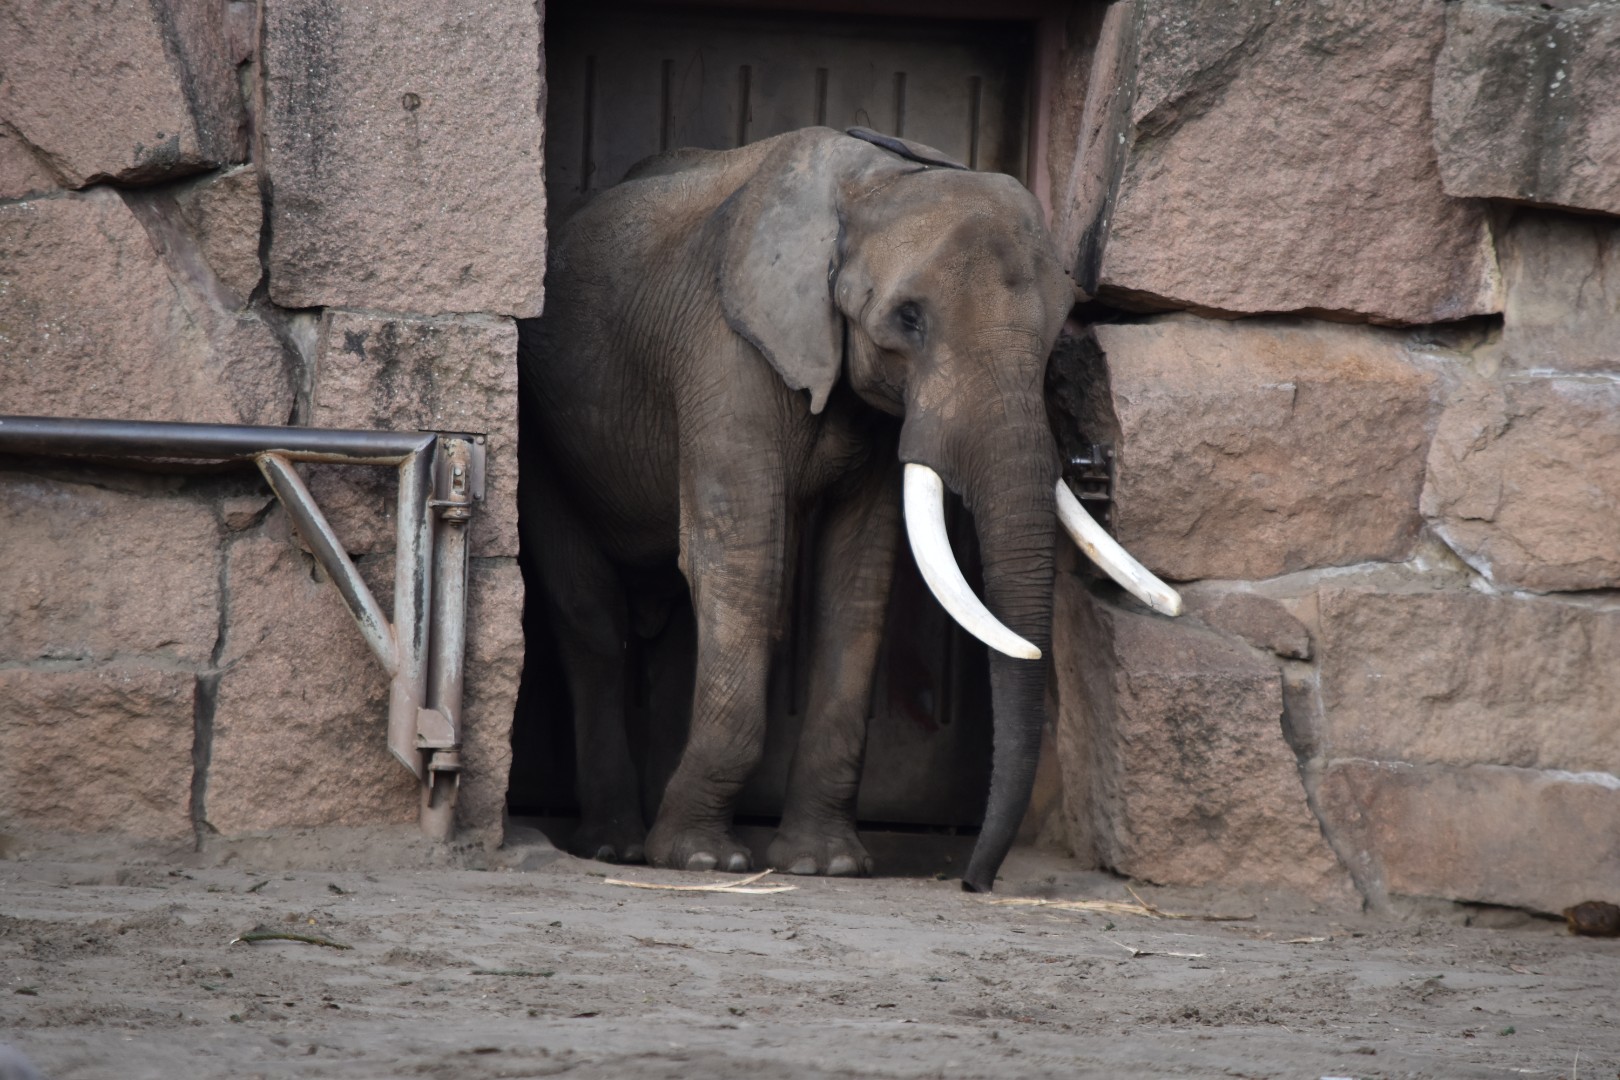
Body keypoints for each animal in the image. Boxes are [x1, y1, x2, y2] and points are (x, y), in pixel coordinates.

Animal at [517, 126, 1179, 892]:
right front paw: (702, 859)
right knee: (591, 617)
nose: (974, 881)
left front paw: (824, 864)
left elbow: (860, 573)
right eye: (908, 320)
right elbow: (745, 560)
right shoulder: (725, 351)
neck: (876, 181)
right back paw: (617, 847)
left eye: (1055, 334)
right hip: (543, 435)